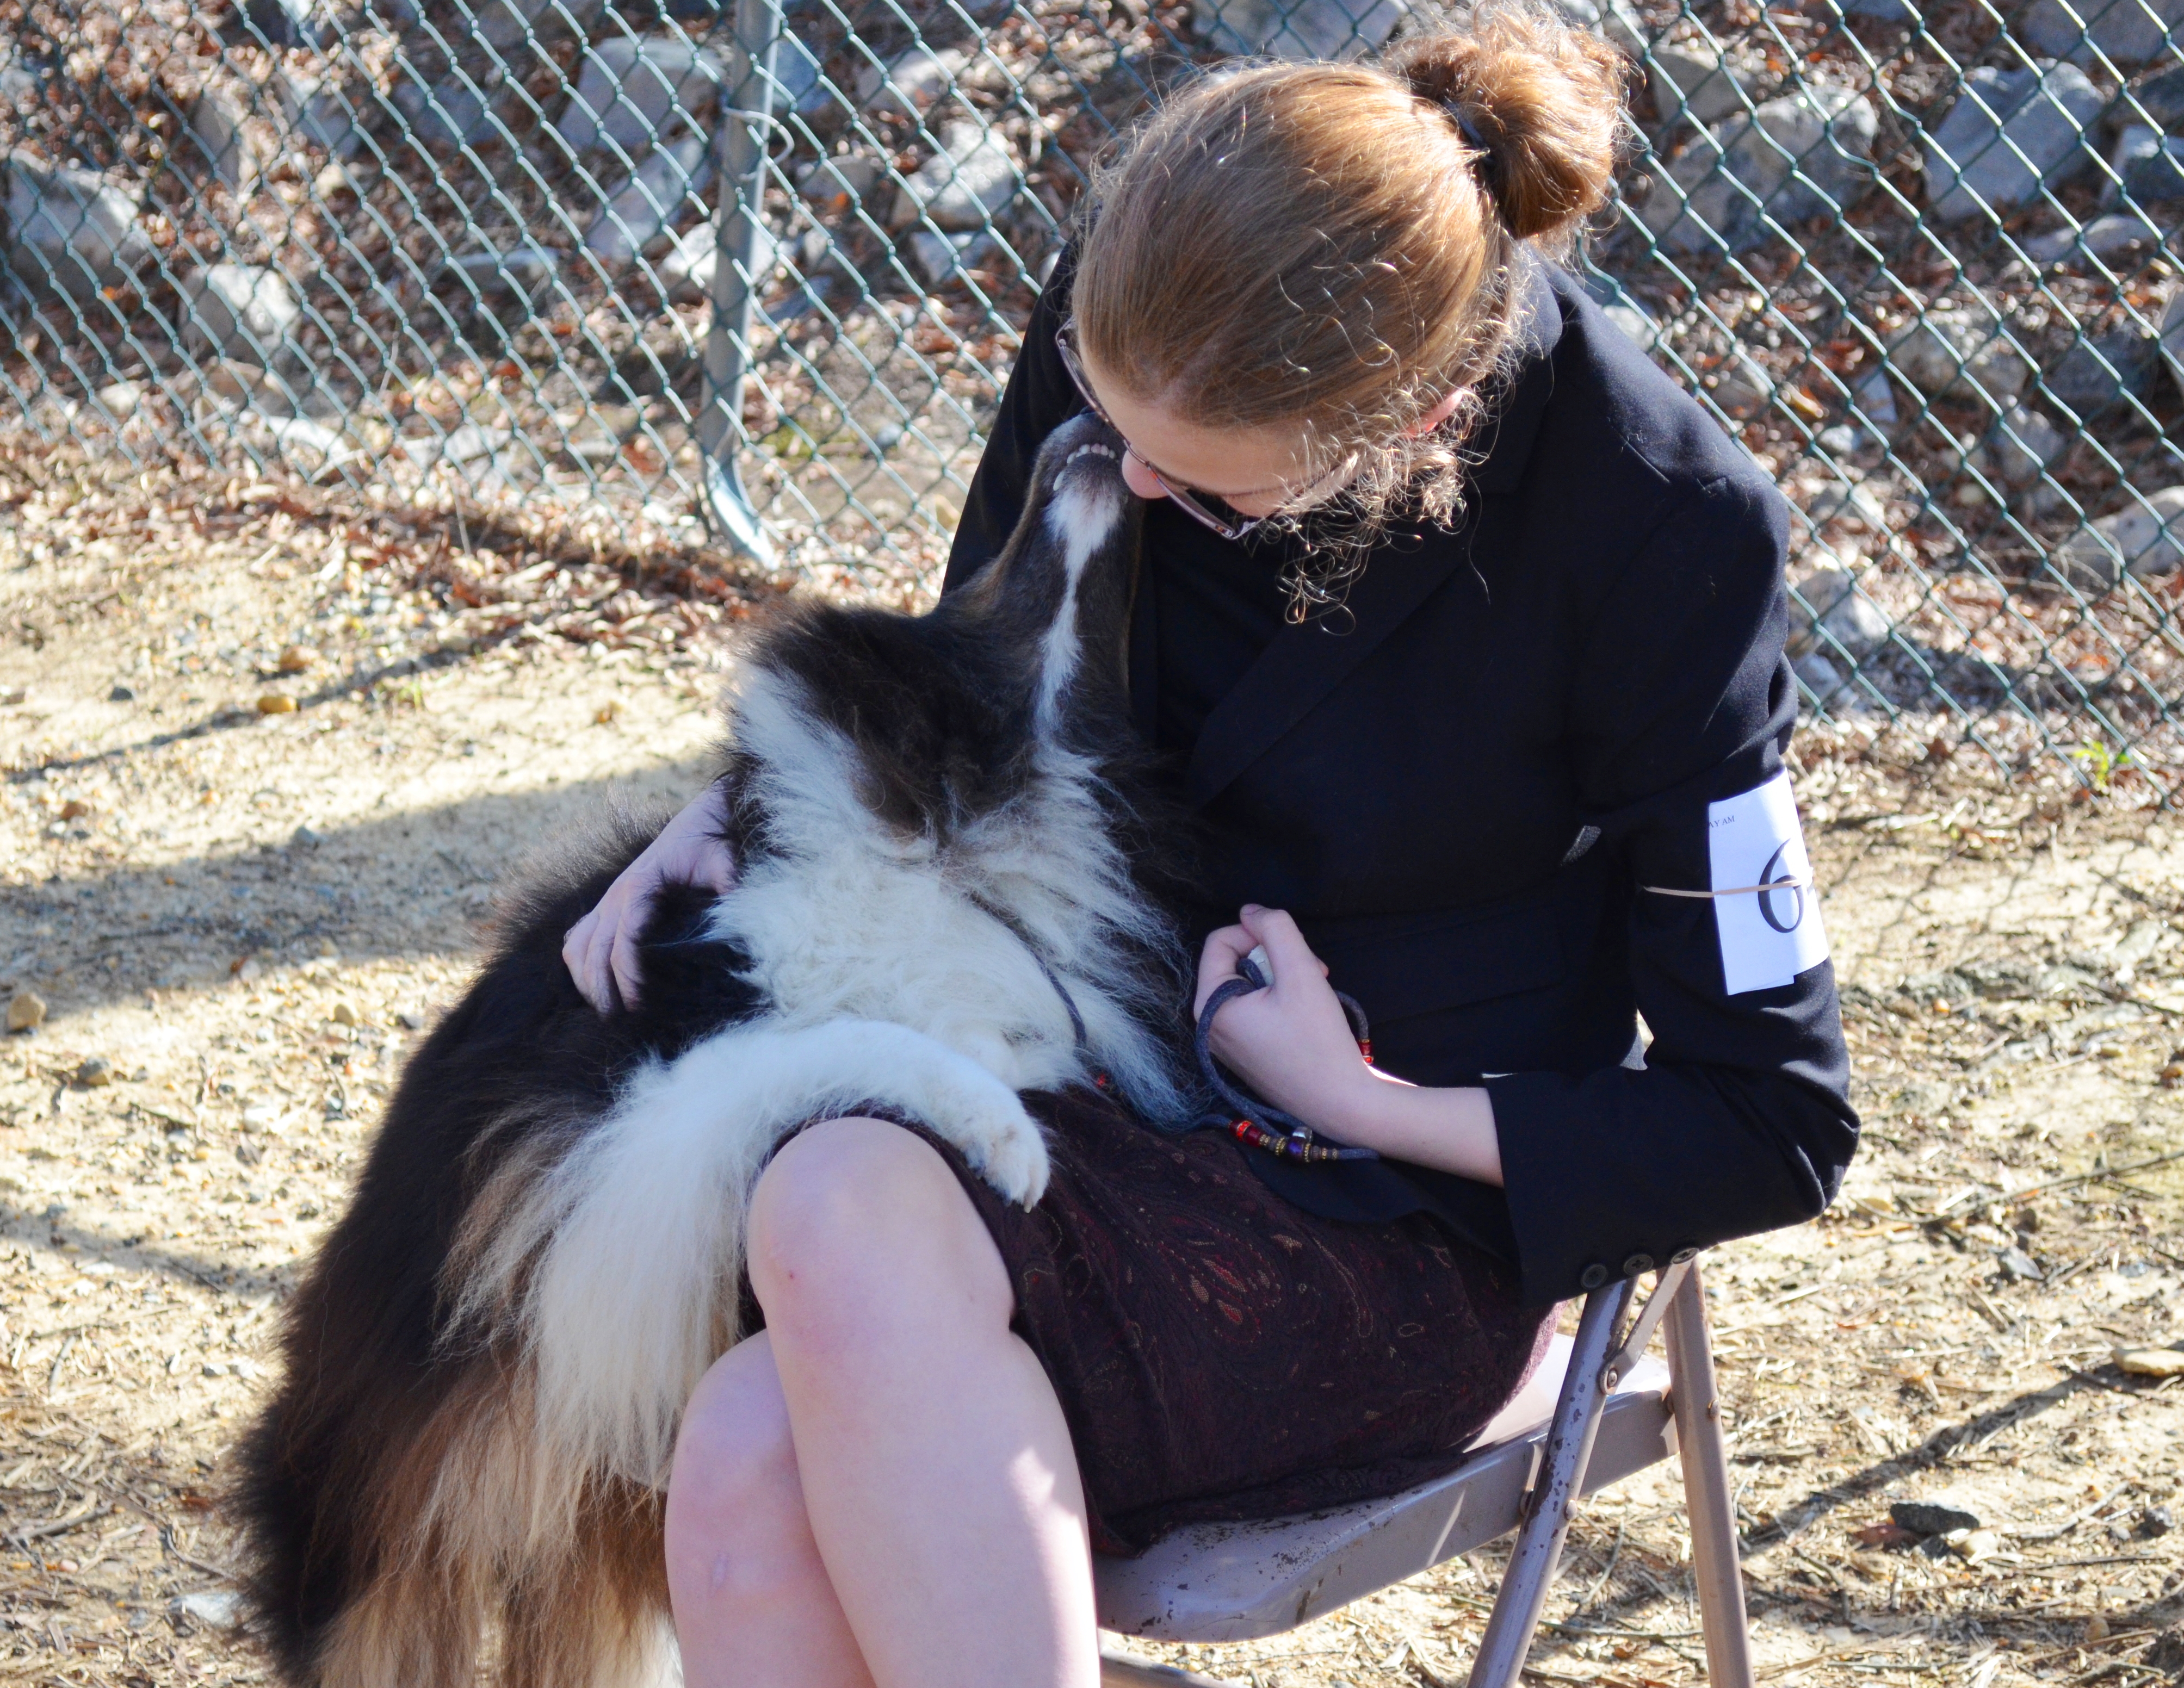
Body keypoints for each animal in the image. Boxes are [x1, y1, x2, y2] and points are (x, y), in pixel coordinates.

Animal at [234, 410, 1197, 1685]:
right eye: (985, 551)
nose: (1086, 418)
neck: (969, 808)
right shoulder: (615, 1154)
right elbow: (841, 1032)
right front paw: (1003, 1129)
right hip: (387, 1532)